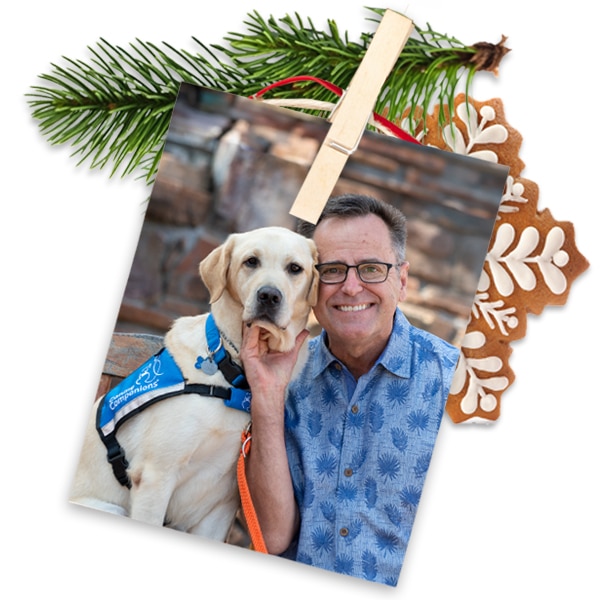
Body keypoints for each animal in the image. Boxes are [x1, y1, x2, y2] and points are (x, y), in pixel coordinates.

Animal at [70, 226, 318, 544]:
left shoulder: (223, 504)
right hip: (113, 508)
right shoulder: (155, 477)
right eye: (251, 261)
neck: (232, 375)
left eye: (295, 268)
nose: (269, 296)